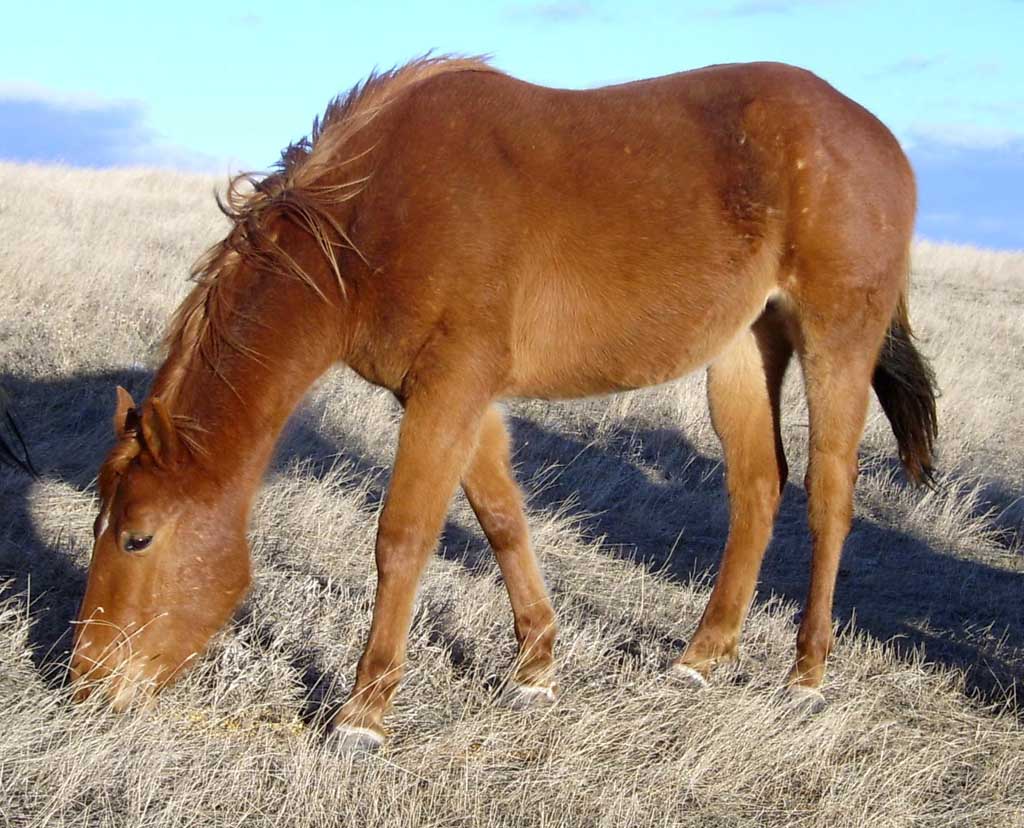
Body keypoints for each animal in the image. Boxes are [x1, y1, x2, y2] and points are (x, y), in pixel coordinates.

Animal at [70, 55, 937, 753]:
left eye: (139, 538)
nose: (83, 684)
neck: (372, 213)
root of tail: (876, 136)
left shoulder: (452, 387)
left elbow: (403, 539)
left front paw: (363, 713)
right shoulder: (452, 394)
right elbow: (500, 519)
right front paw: (535, 668)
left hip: (835, 342)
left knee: (828, 497)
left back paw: (806, 675)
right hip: (742, 350)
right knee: (757, 488)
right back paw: (701, 657)